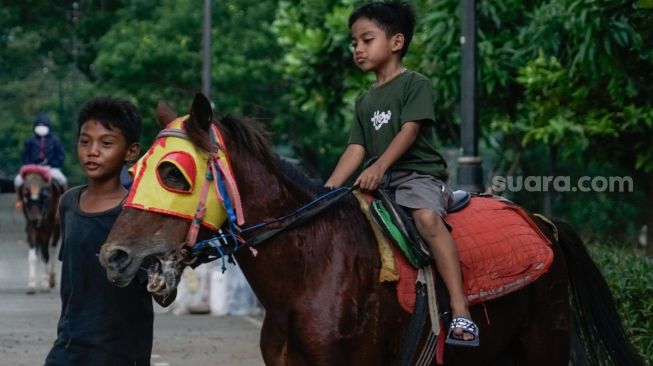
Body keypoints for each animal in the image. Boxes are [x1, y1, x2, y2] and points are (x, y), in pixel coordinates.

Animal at [18, 166, 60, 294]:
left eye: (44, 196)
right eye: (26, 196)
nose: (35, 217)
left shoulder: (48, 227)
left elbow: (46, 254)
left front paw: (45, 283)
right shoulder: (31, 227)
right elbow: (33, 256)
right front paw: (31, 285)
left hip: (56, 228)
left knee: (53, 249)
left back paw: (51, 279)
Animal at [98, 95, 640, 366]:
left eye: (172, 174)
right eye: (135, 168)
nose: (114, 256)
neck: (311, 271)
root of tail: (545, 226)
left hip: (543, 345)